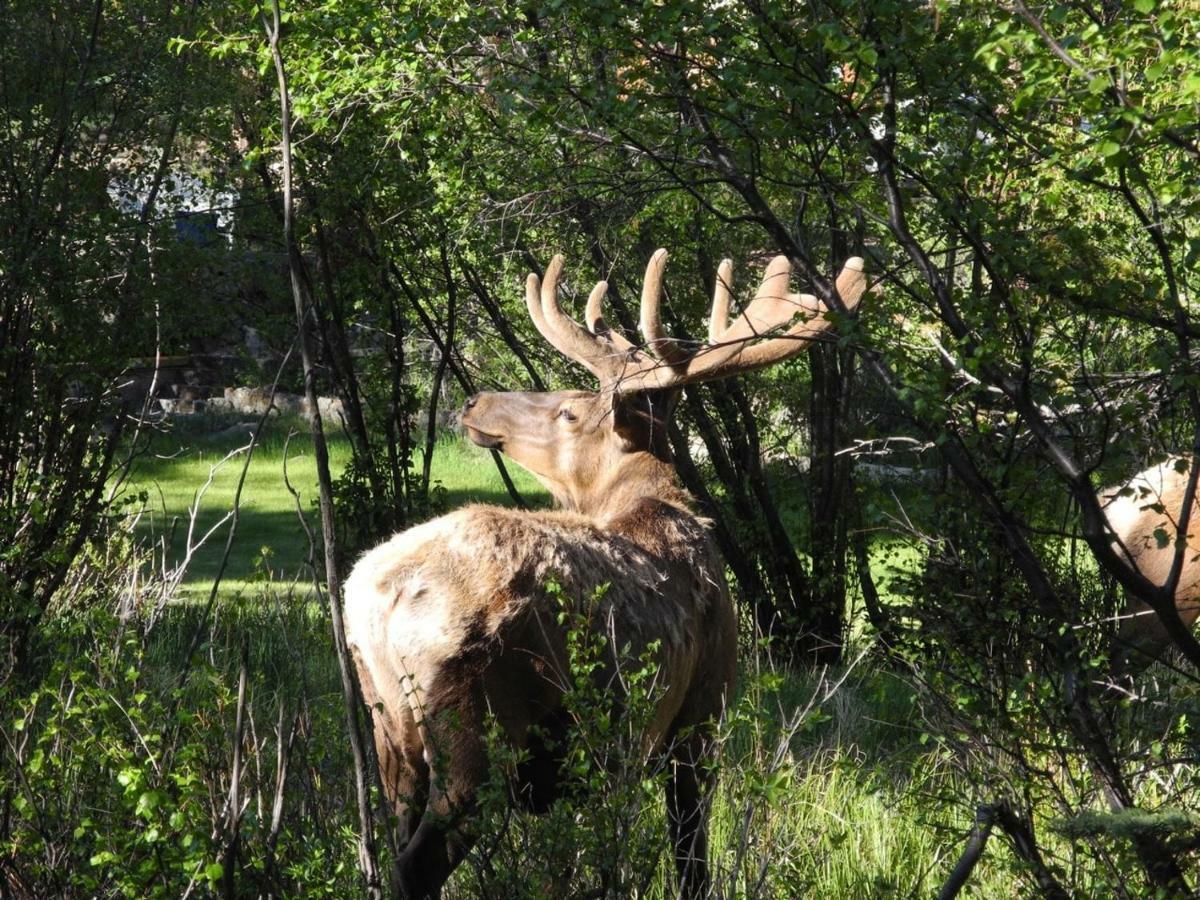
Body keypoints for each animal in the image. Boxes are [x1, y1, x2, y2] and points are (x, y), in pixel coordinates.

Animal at [343, 248, 868, 900]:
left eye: (569, 409)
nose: (473, 403)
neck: (644, 501)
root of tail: (374, 600)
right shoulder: (699, 712)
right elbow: (688, 853)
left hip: (390, 732)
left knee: (391, 837)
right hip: (474, 735)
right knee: (415, 863)